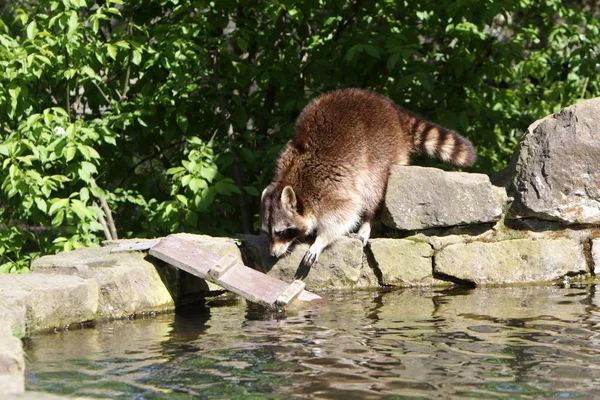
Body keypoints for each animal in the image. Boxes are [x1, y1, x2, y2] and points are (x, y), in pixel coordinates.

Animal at [260, 88, 476, 268]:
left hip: (381, 152)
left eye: (280, 232)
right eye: (268, 232)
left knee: (371, 190)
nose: (272, 255)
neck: (292, 180)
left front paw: (321, 240)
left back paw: (367, 221)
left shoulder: (329, 187)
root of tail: (392, 109)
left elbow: (345, 212)